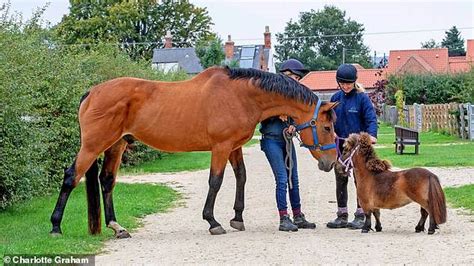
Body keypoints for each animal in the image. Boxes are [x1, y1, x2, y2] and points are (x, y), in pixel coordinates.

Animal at [50, 66, 338, 237]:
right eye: (326, 127)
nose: (331, 162)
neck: (241, 95)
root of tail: (91, 92)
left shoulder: (234, 147)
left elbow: (241, 177)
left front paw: (237, 217)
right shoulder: (220, 147)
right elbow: (216, 181)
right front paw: (212, 221)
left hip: (116, 145)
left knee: (107, 181)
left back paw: (116, 226)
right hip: (93, 145)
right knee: (71, 177)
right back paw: (55, 226)